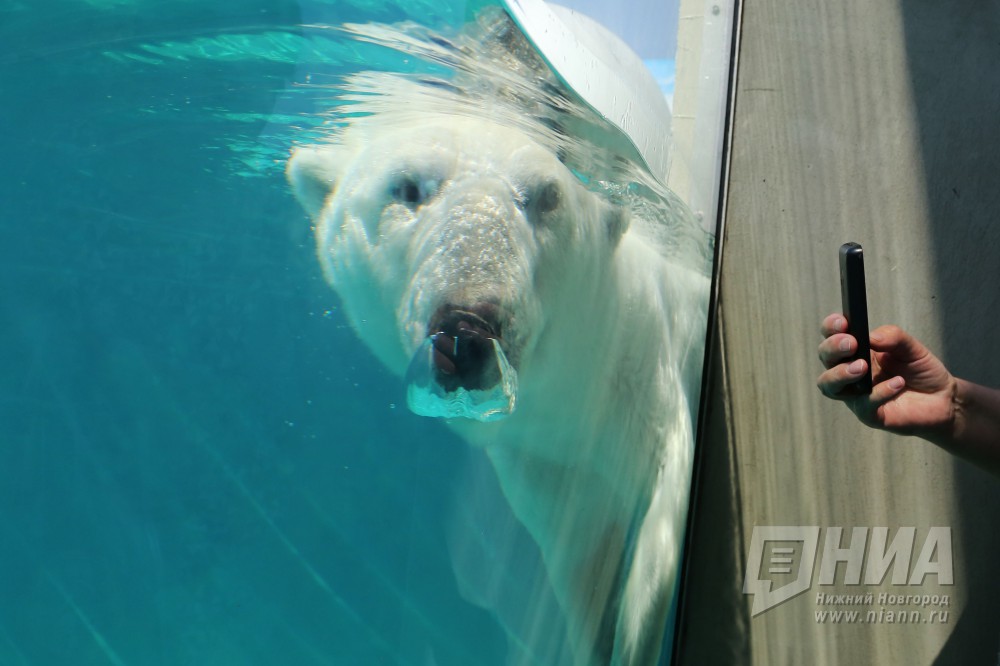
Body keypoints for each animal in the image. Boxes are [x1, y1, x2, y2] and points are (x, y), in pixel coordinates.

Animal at [288, 35, 712, 664]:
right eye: (406, 187)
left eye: (547, 196)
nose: (467, 325)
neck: (577, 386)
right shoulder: (545, 456)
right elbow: (582, 554)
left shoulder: (646, 363)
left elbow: (664, 492)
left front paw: (636, 634)